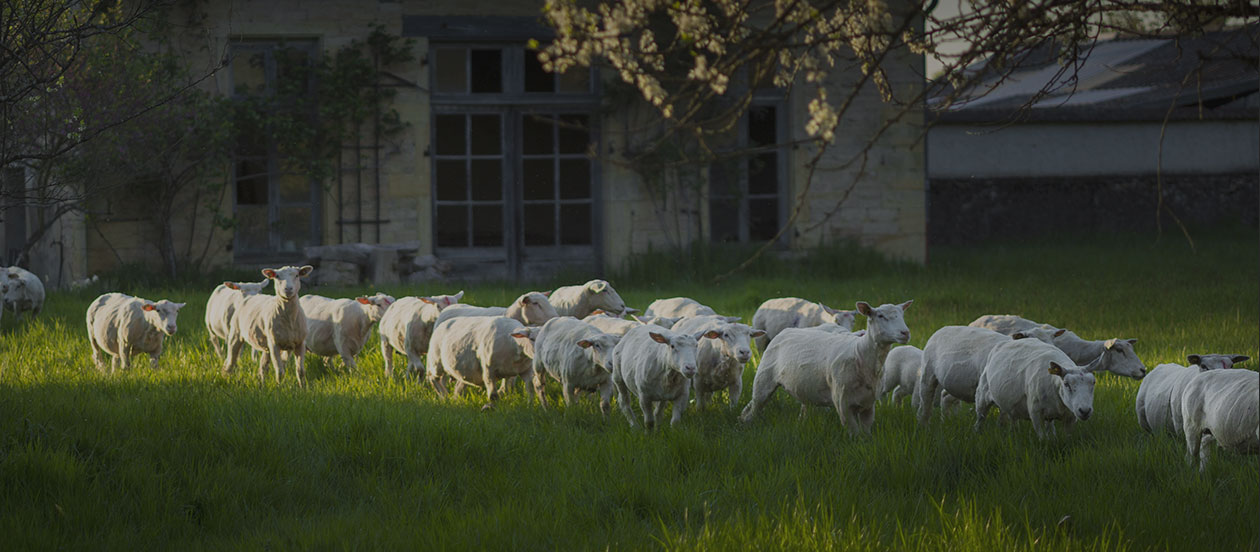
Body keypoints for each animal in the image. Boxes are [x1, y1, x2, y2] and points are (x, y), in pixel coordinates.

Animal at [735, 299, 917, 433]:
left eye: (902, 315)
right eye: (880, 316)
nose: (905, 333)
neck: (860, 353)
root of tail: (786, 331)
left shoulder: (869, 403)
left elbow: (865, 432)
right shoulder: (843, 401)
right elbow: (854, 432)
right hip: (764, 379)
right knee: (755, 407)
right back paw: (746, 425)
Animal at [917, 325, 1063, 425]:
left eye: (1052, 342)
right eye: (1033, 341)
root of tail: (942, 328)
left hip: (958, 384)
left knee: (945, 396)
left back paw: (945, 420)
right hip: (928, 373)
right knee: (926, 401)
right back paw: (923, 424)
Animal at [967, 335, 1098, 441]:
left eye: (1093, 382)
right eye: (1066, 384)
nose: (1085, 411)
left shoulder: (1070, 416)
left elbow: (1067, 438)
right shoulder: (1036, 413)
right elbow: (1042, 438)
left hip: (1008, 404)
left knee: (1010, 419)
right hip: (982, 395)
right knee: (980, 418)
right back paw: (977, 433)